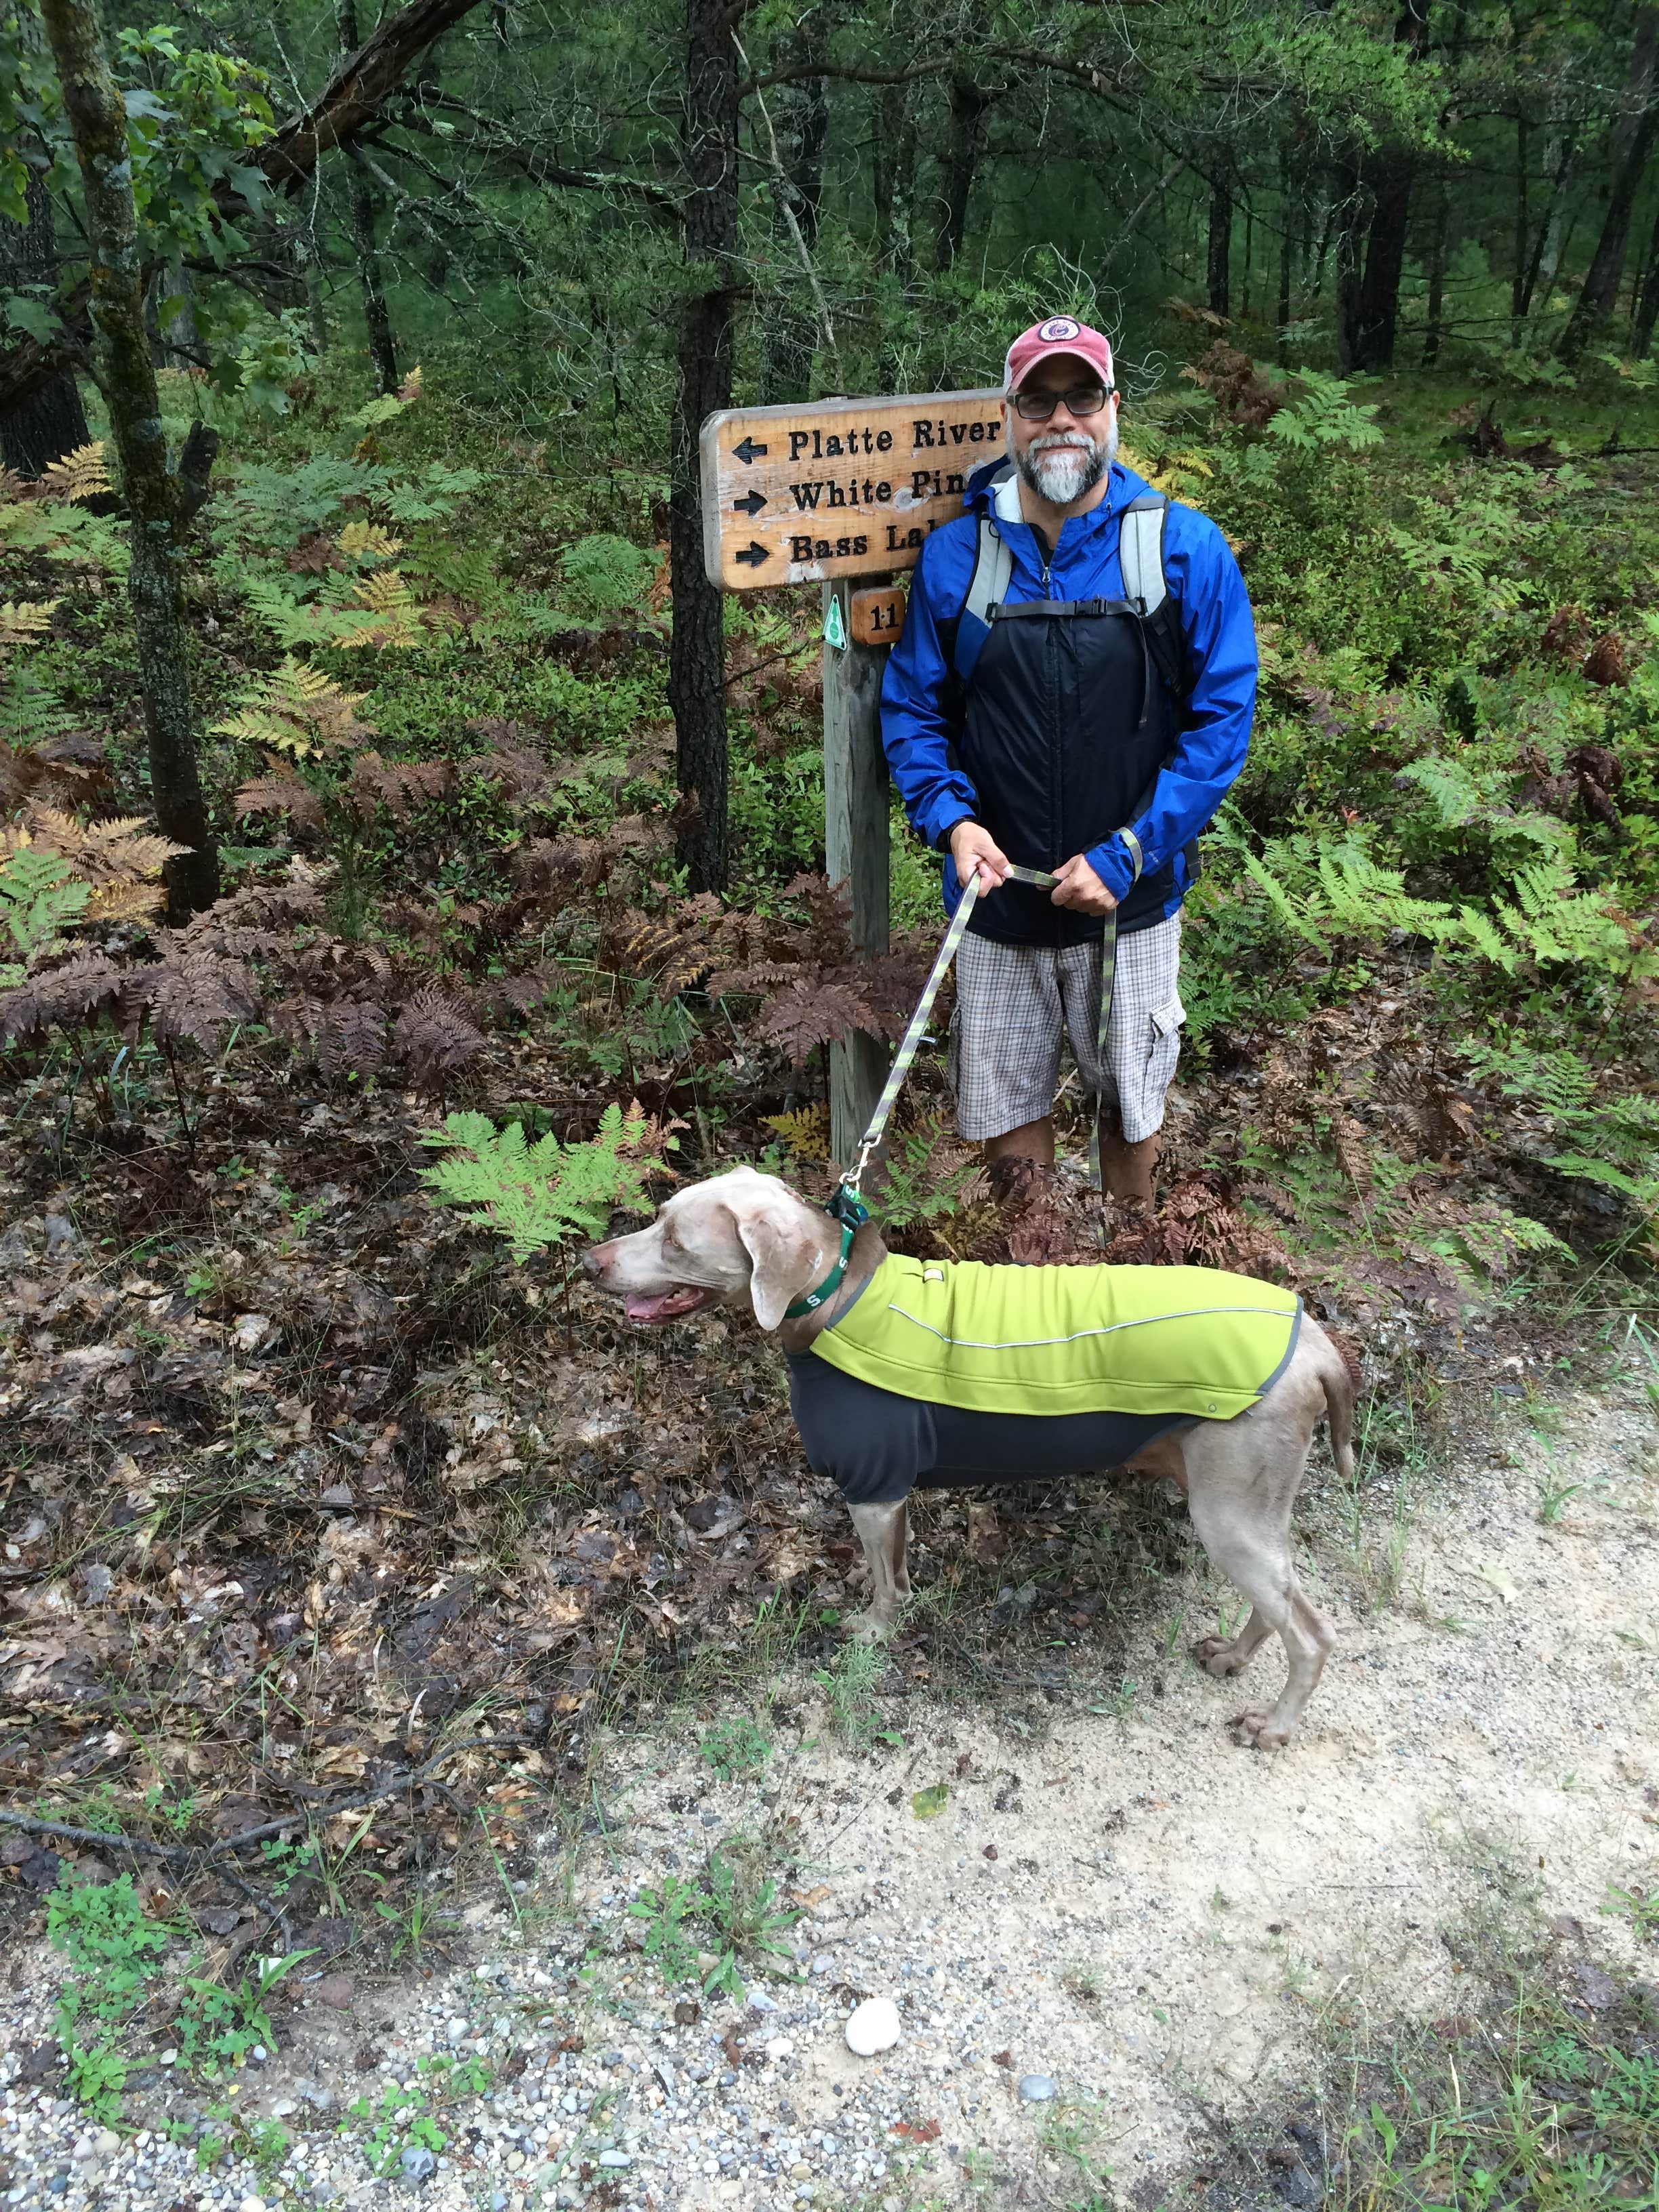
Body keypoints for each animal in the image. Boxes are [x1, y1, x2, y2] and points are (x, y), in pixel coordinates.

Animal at [583, 1168, 1353, 1734]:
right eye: (657, 1215)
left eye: (675, 1241)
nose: (590, 1262)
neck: (833, 1299)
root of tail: (1317, 1346)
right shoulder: (889, 1492)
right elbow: (891, 1564)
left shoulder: (874, 1483)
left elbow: (889, 1587)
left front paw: (872, 1630)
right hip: (1239, 1500)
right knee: (1279, 1602)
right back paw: (1231, 1656)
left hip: (1230, 1508)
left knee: (1312, 1634)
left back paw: (1274, 1725)